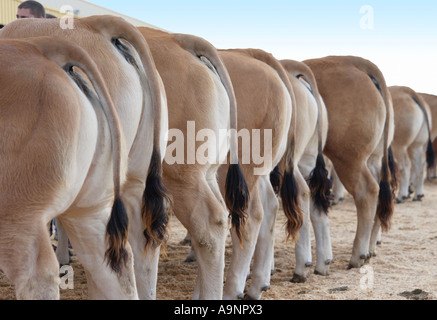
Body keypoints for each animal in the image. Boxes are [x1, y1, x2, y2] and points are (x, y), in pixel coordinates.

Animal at [304, 56, 396, 268]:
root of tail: (353, 61)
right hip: (374, 158)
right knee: (382, 192)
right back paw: (370, 249)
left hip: (347, 158)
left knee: (368, 191)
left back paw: (357, 256)